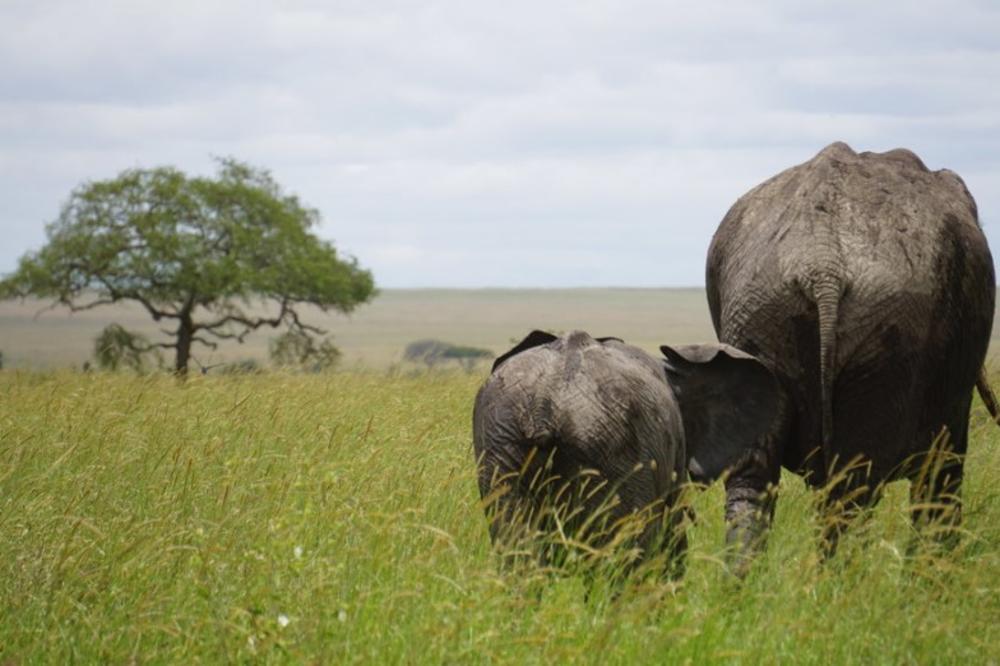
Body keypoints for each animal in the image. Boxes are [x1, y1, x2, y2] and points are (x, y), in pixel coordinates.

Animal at [708, 141, 996, 572]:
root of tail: (821, 265)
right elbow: (942, 469)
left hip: (756, 317)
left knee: (753, 481)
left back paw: (745, 582)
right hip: (885, 341)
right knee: (852, 490)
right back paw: (841, 581)